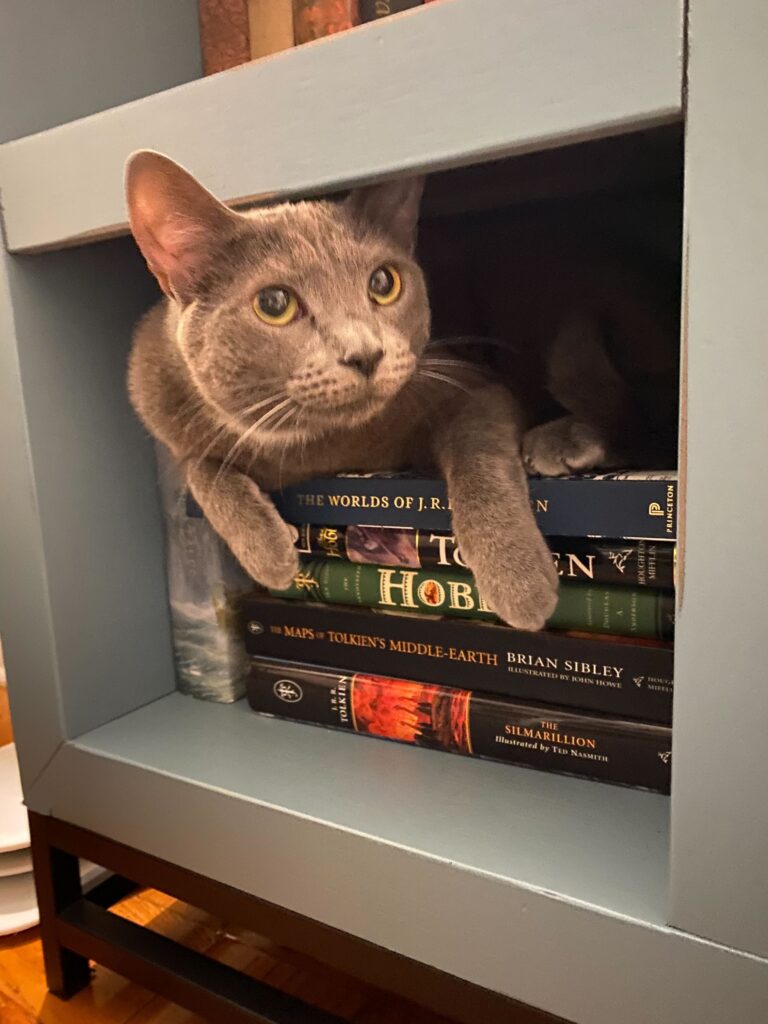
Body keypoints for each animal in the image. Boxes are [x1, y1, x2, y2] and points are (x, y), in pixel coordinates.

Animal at [124, 151, 667, 630]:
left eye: (383, 283)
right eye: (274, 304)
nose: (364, 353)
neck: (322, 448)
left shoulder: (470, 385)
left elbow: (476, 458)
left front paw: (520, 581)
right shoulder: (164, 407)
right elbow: (200, 467)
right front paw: (269, 555)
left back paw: (563, 440)